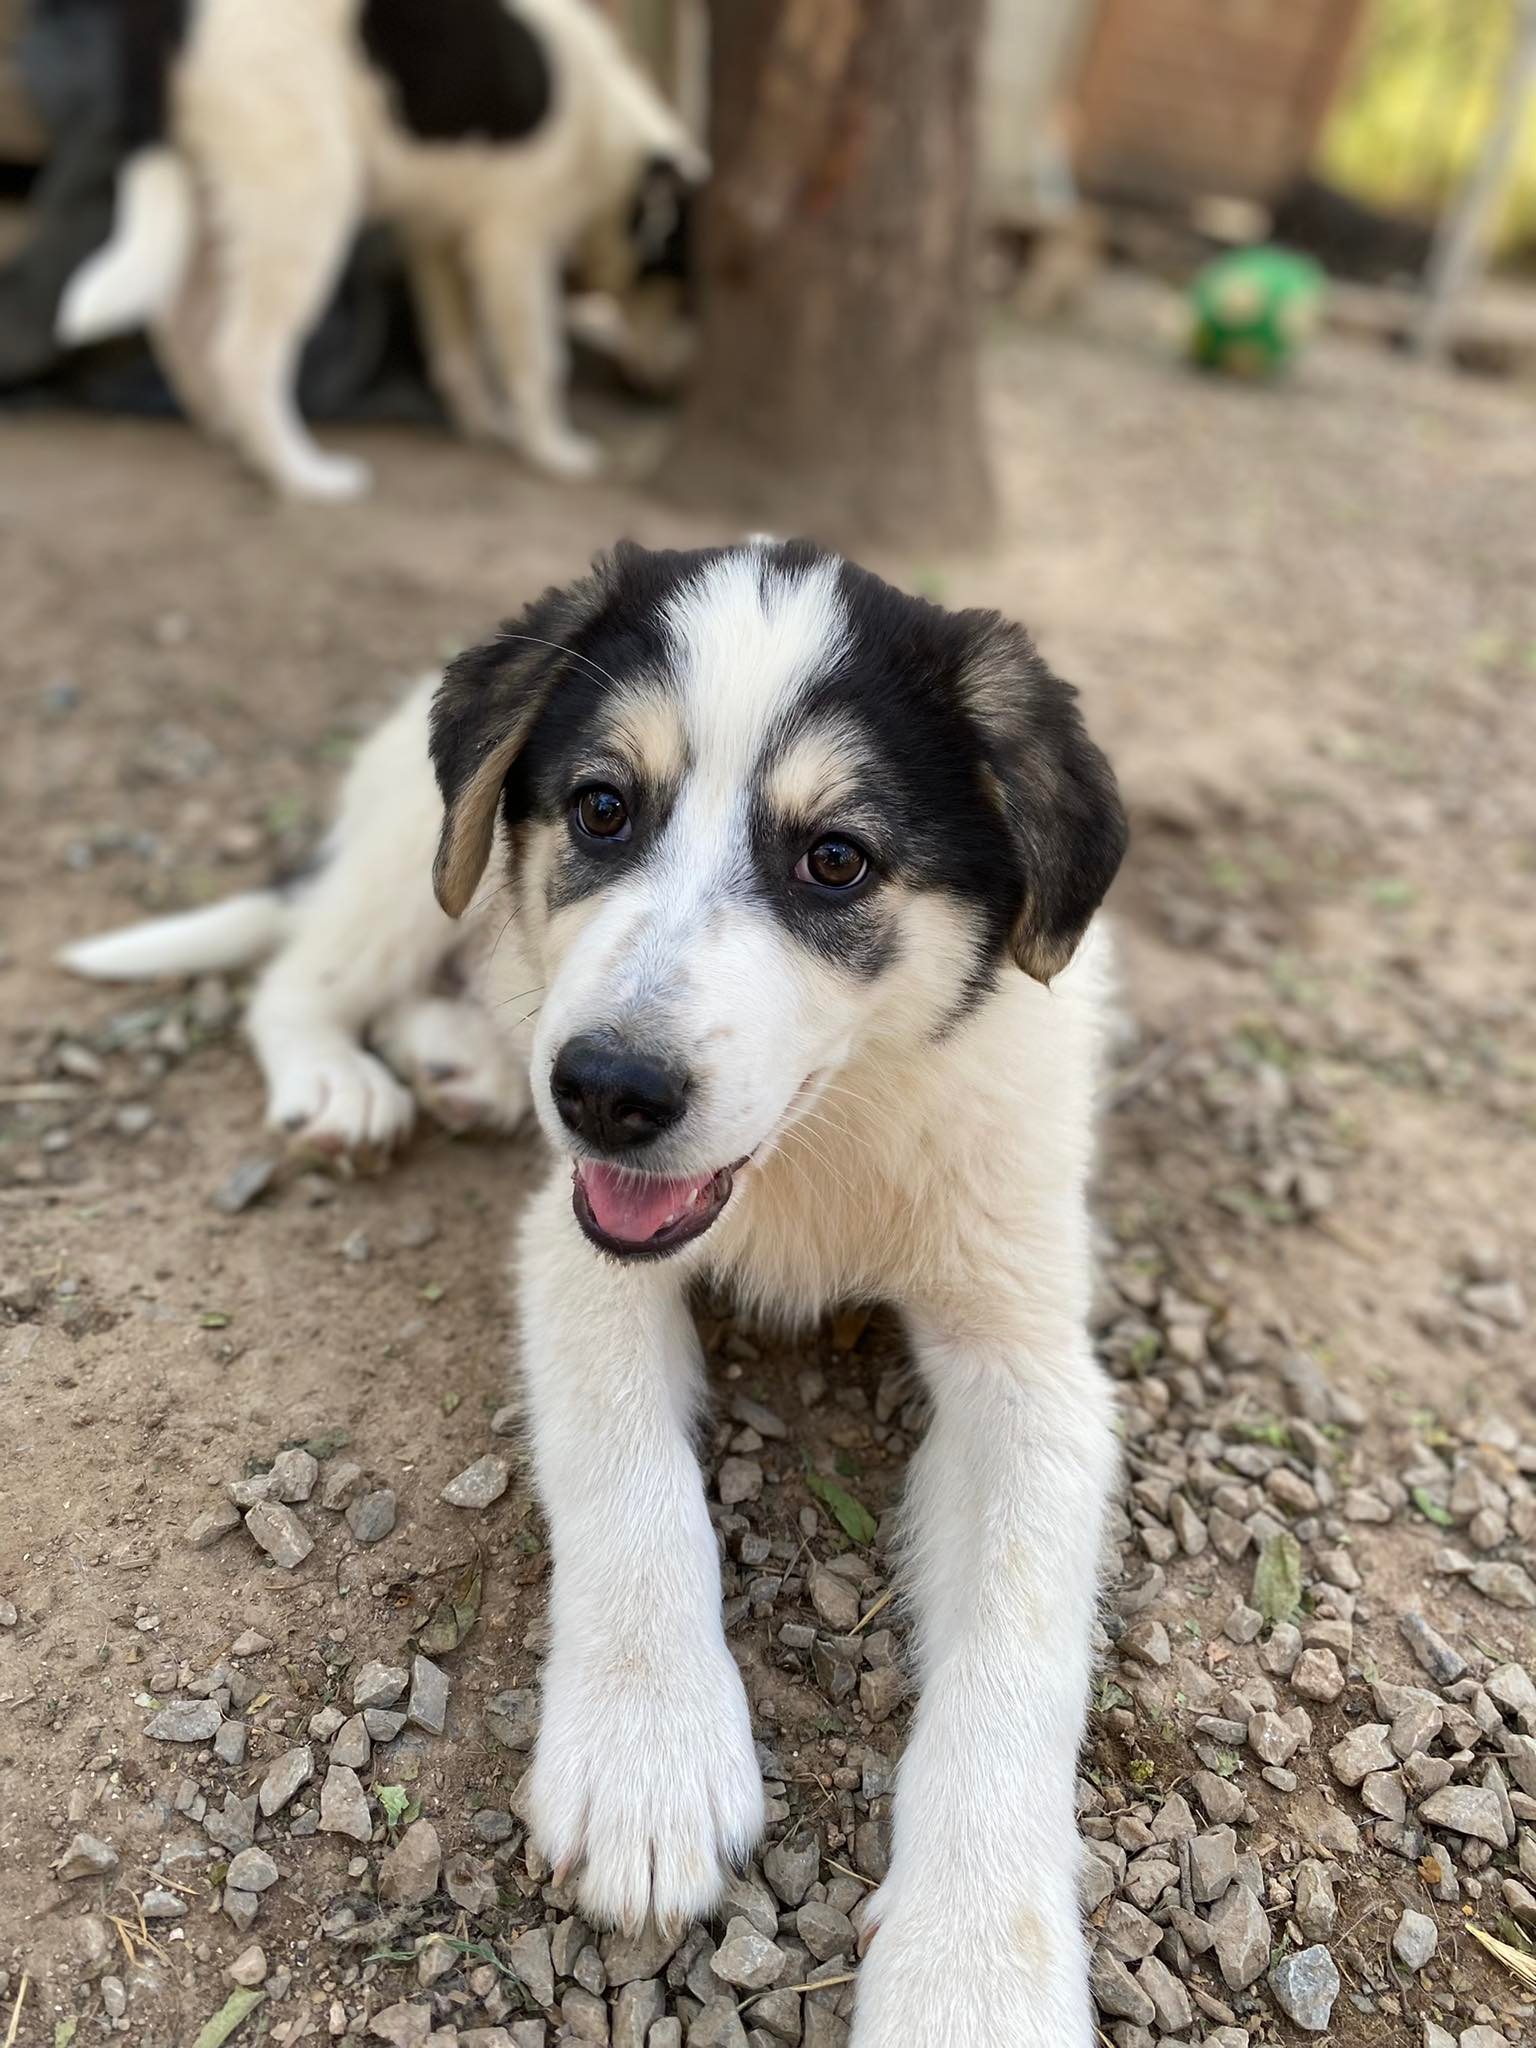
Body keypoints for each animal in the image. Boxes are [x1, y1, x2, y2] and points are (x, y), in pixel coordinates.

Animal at [57, 0, 708, 499]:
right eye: (686, 291)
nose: (663, 391)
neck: (612, 143)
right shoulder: (514, 244)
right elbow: (539, 360)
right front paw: (555, 451)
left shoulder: (436, 238)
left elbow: (458, 346)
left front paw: (484, 423)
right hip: (303, 193)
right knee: (244, 350)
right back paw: (299, 473)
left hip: (216, 185)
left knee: (184, 323)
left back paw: (231, 433)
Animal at [66, 536, 1130, 2039]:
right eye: (602, 808)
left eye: (837, 859)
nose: (604, 1093)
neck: (822, 1140)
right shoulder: (578, 1250)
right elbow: (633, 1484)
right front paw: (648, 1757)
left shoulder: (1032, 1359)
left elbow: (1020, 1645)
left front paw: (975, 1971)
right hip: (406, 852)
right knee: (305, 973)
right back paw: (344, 1079)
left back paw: (458, 1059)